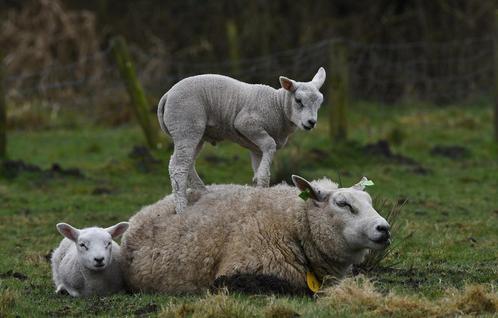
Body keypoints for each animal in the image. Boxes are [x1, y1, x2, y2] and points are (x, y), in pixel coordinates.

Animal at [157, 69, 326, 214]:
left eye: (320, 103)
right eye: (298, 100)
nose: (311, 122)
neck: (277, 107)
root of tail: (167, 95)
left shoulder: (257, 149)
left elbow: (259, 170)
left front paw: (260, 194)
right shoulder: (246, 123)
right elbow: (269, 147)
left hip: (194, 132)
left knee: (187, 164)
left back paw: (204, 193)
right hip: (185, 125)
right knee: (178, 167)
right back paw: (182, 209)